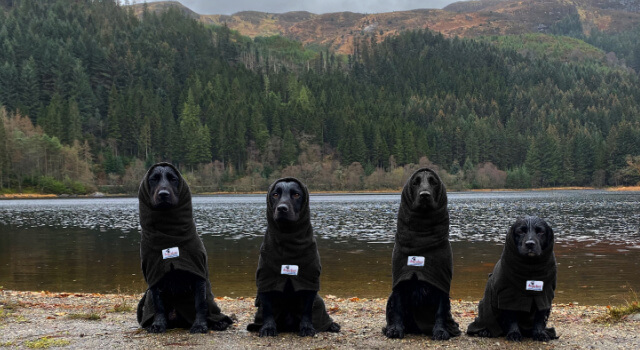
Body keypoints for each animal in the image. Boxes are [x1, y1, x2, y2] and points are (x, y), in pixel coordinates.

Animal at [136, 163, 234, 332]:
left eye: (173, 179)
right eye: (153, 179)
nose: (163, 194)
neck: (168, 235)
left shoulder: (198, 274)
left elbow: (200, 303)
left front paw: (200, 325)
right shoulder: (155, 275)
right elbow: (158, 305)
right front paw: (158, 324)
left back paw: (218, 323)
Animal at [246, 178, 340, 336]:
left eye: (296, 194)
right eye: (275, 194)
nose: (282, 208)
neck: (288, 238)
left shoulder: (309, 279)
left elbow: (307, 309)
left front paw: (307, 328)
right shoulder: (265, 280)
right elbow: (268, 309)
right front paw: (268, 328)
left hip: (319, 301)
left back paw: (332, 325)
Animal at [382, 169, 458, 340]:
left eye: (433, 182)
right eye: (415, 182)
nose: (424, 195)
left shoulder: (441, 284)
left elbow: (441, 311)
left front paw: (440, 331)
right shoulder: (400, 281)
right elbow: (397, 308)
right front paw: (395, 329)